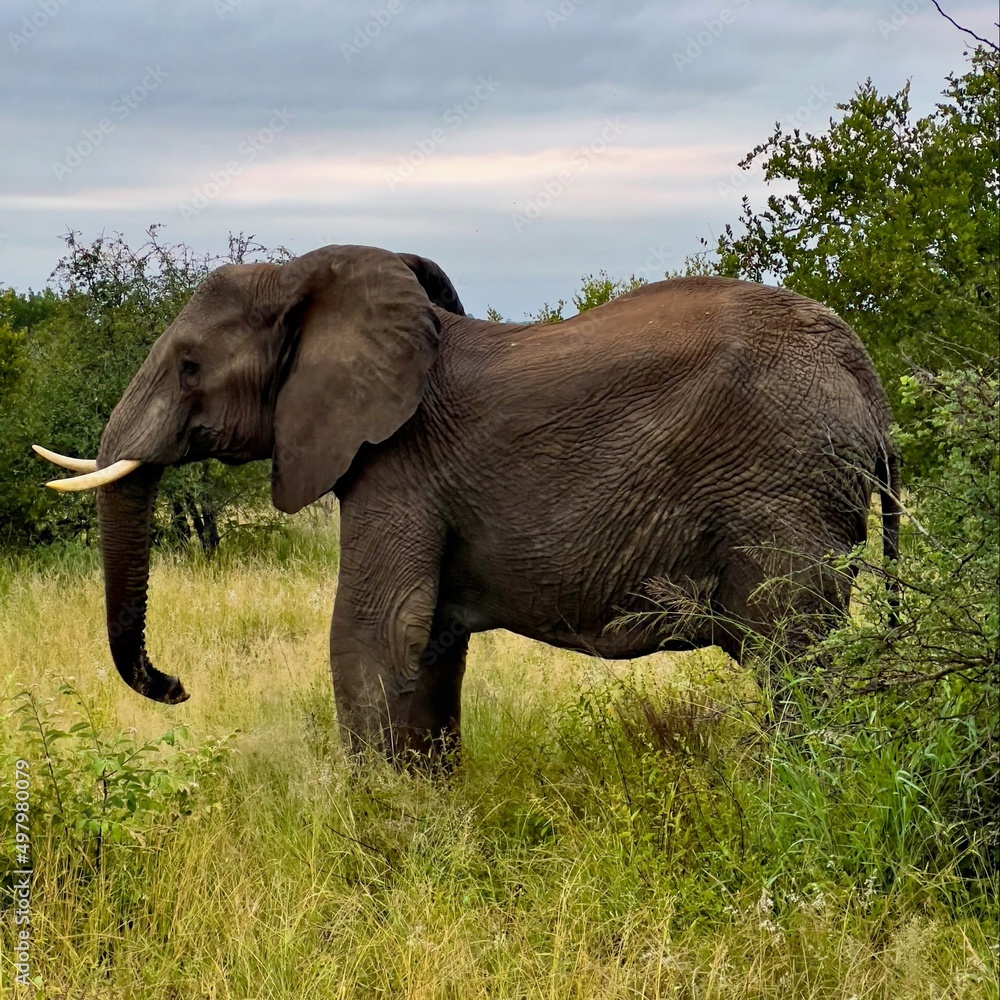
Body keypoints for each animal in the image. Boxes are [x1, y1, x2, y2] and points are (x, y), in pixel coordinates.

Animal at [37, 244, 900, 761]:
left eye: (188, 367)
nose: (177, 687)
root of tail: (864, 374)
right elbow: (429, 647)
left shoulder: (399, 464)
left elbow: (372, 634)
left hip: (783, 492)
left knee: (794, 658)